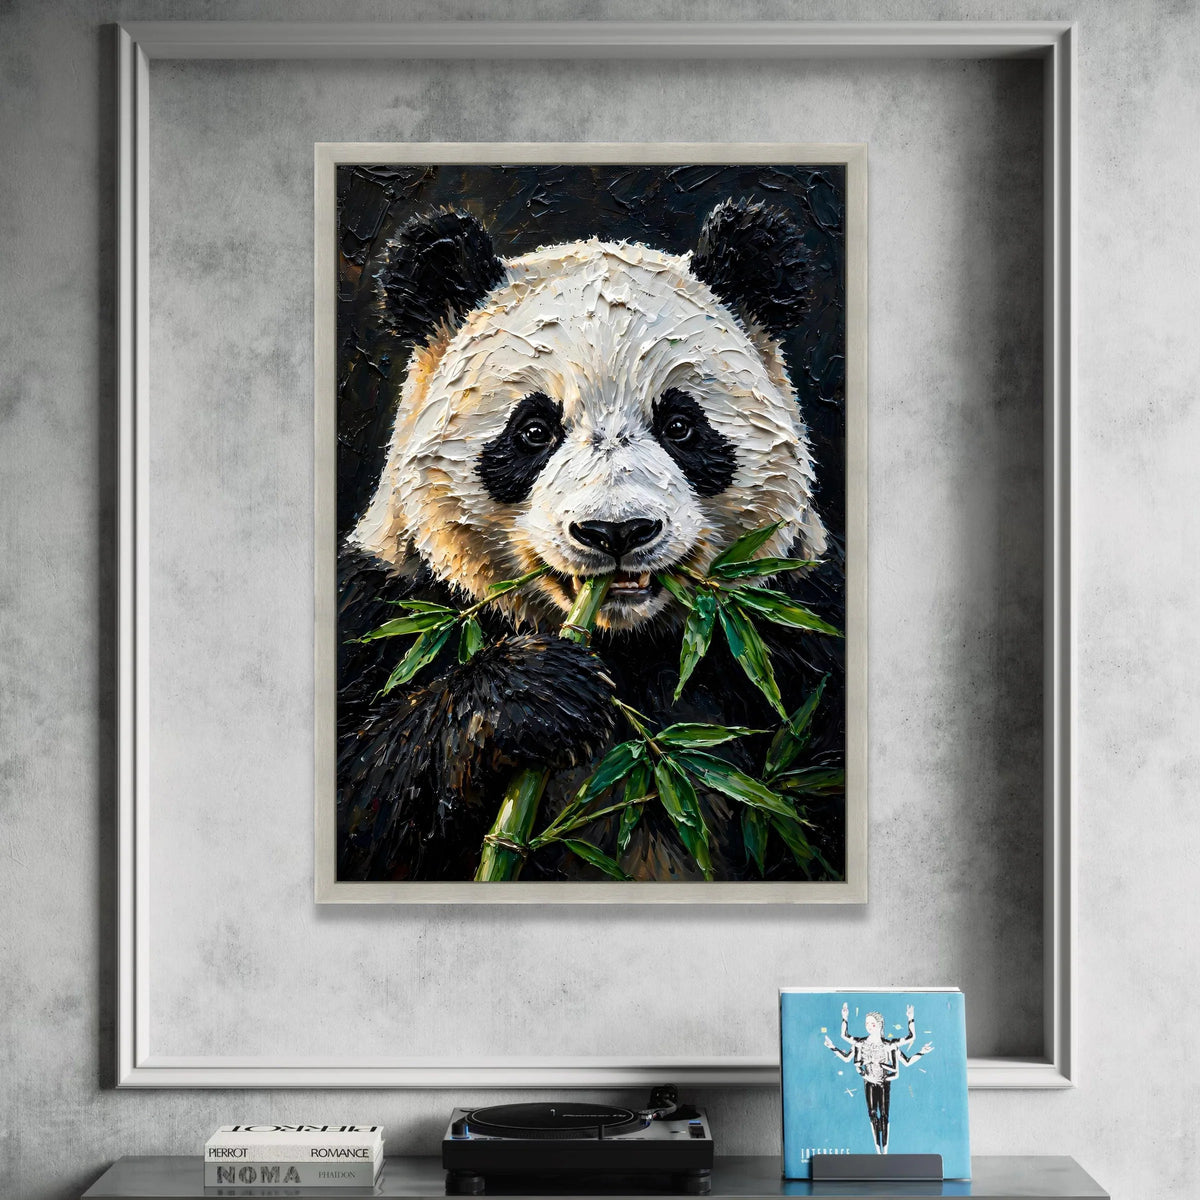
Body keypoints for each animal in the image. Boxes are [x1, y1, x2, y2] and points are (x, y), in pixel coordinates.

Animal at [337, 200, 844, 883]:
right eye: (533, 431)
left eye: (680, 425)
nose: (616, 531)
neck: (625, 648)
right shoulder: (389, 606)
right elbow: (361, 798)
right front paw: (537, 694)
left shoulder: (794, 625)